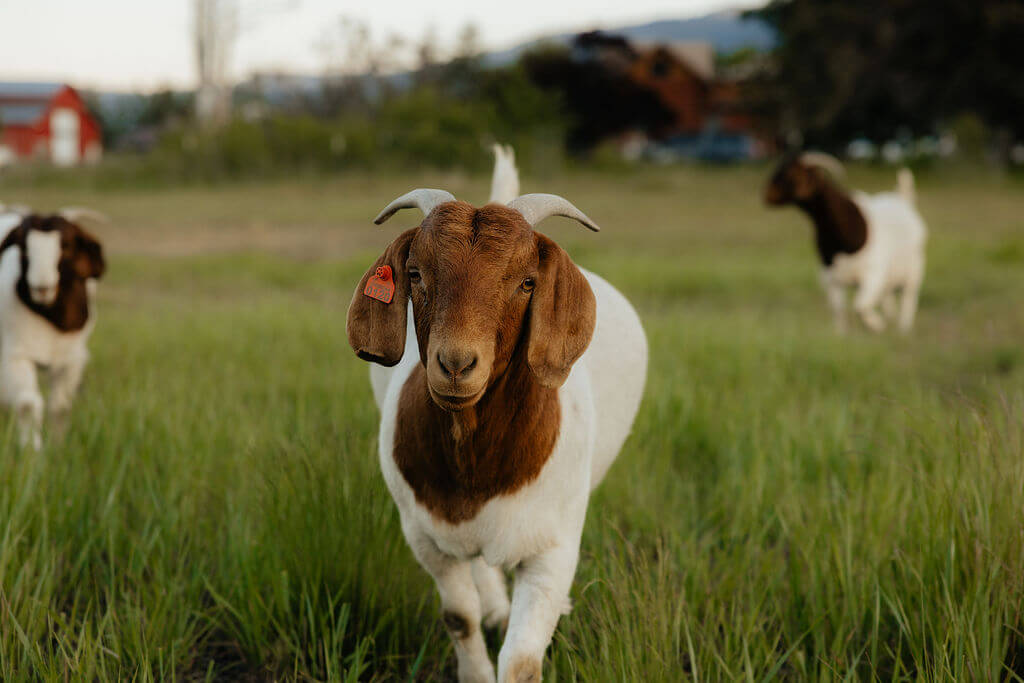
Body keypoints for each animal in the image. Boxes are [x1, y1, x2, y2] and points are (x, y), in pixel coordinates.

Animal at [0, 209, 106, 449]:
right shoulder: (14, 355)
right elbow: (28, 404)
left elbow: (60, 407)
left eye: (66, 246)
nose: (42, 287)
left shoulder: (73, 360)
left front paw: (59, 445)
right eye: (23, 247)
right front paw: (32, 449)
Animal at [347, 152, 647, 682]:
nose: (456, 364)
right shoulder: (426, 538)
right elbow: (458, 617)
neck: (476, 469)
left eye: (527, 282)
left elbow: (523, 660)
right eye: (416, 273)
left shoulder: (553, 551)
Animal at [764, 152, 927, 333]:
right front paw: (841, 334)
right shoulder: (832, 279)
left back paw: (903, 329)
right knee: (888, 297)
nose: (766, 195)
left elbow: (859, 305)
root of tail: (902, 199)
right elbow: (839, 310)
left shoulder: (873, 274)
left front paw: (876, 325)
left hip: (914, 271)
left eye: (792, 175)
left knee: (908, 299)